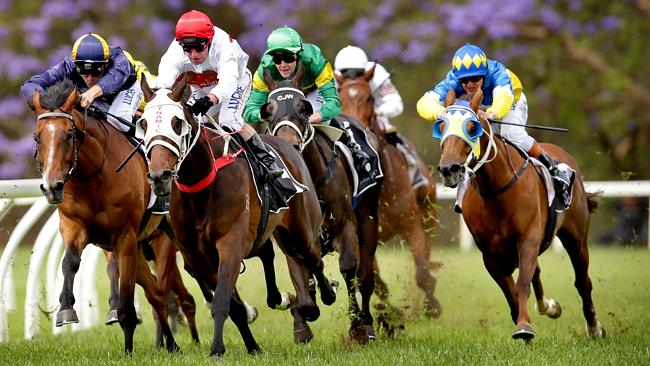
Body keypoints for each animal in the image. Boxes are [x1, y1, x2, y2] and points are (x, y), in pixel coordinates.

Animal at [31, 79, 178, 352]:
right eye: (37, 137)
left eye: (69, 135)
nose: (52, 187)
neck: (93, 176)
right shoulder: (74, 227)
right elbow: (70, 262)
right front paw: (65, 309)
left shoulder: (125, 239)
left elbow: (126, 304)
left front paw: (128, 350)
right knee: (156, 293)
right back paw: (172, 345)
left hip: (166, 239)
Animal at [140, 78, 336, 358]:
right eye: (144, 124)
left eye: (177, 123)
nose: (159, 176)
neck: (201, 184)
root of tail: (288, 146)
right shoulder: (198, 256)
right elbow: (231, 303)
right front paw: (252, 345)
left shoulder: (230, 244)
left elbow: (222, 299)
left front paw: (217, 348)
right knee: (269, 253)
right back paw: (283, 299)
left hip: (301, 230)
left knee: (313, 258)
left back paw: (323, 298)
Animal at [258, 66, 380, 344]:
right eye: (267, 110)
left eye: (303, 107)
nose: (290, 145)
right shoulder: (289, 239)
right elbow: (302, 283)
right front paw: (301, 321)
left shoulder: (344, 225)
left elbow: (348, 267)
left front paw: (356, 325)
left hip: (368, 220)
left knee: (365, 275)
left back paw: (367, 324)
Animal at [334, 69, 440, 318]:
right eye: (339, 97)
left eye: (368, 98)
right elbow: (374, 281)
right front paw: (391, 311)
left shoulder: (411, 224)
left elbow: (422, 272)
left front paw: (432, 306)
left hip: (428, 213)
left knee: (427, 251)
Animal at [430, 89, 604, 340]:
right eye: (441, 125)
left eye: (472, 127)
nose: (448, 169)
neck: (497, 193)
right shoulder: (491, 255)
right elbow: (511, 292)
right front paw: (526, 322)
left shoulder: (528, 240)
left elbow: (522, 285)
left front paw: (523, 327)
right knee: (538, 273)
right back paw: (549, 306)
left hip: (576, 239)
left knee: (583, 282)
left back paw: (594, 327)